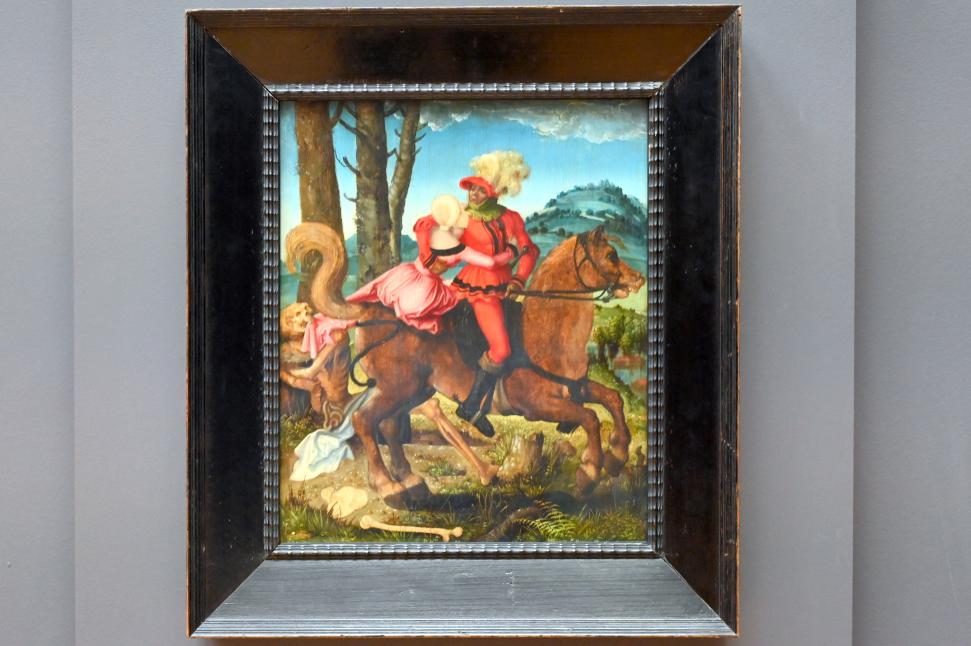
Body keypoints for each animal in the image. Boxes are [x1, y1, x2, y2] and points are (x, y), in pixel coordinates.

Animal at [285, 222, 646, 506]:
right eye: (611, 255)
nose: (639, 280)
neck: (545, 331)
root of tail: (369, 309)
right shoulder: (537, 405)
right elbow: (590, 418)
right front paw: (590, 471)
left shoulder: (576, 387)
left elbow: (612, 400)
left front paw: (617, 456)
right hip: (397, 388)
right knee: (365, 421)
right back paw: (389, 487)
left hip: (414, 390)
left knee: (386, 425)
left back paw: (412, 483)